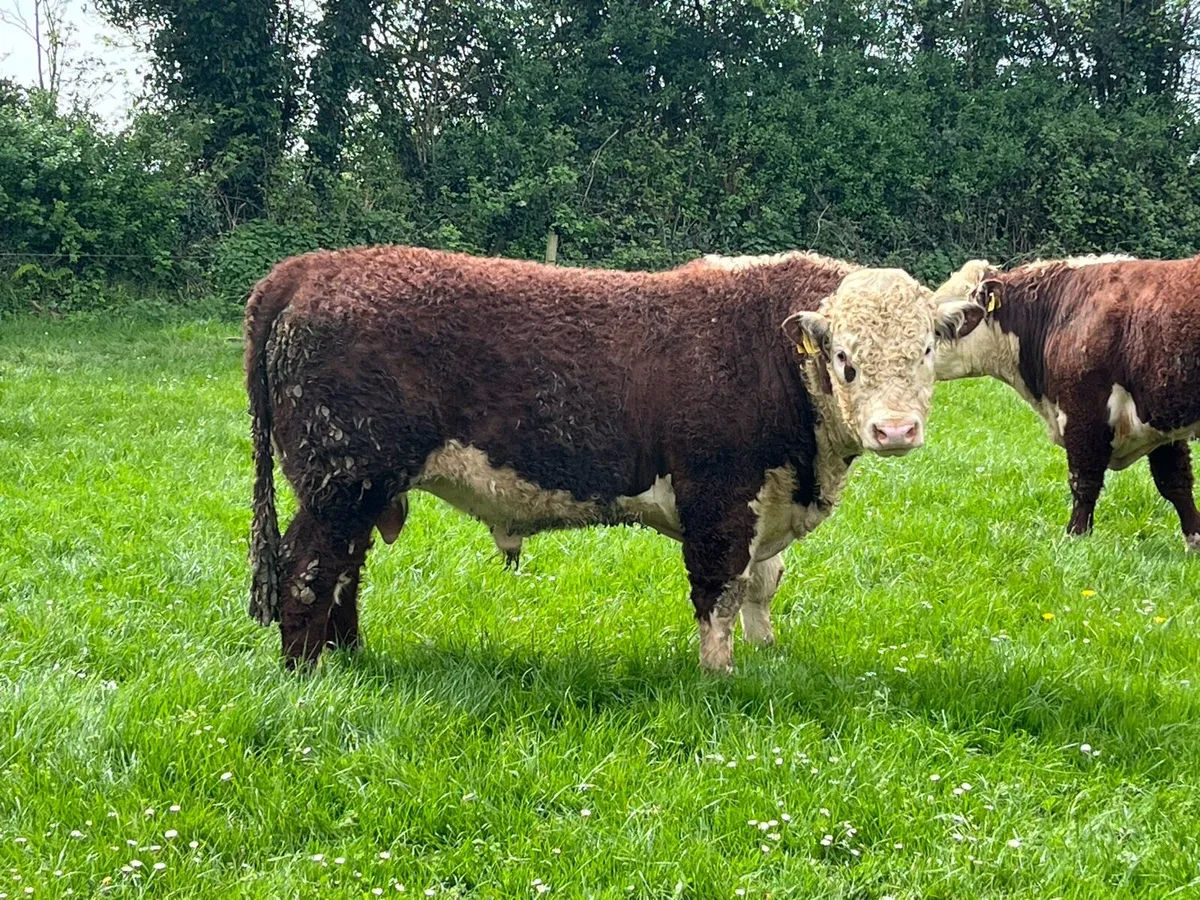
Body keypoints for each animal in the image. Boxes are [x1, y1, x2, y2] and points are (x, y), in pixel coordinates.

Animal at [245, 246, 955, 672]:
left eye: (926, 350)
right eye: (845, 359)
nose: (896, 429)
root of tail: (311, 267)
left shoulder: (767, 500)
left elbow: (761, 584)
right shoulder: (718, 499)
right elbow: (719, 592)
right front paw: (720, 678)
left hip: (358, 492)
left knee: (344, 570)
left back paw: (349, 657)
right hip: (338, 481)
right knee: (307, 570)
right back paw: (312, 672)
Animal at [932, 255, 1200, 550]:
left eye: (942, 326)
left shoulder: (1083, 413)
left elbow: (1083, 481)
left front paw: (1076, 537)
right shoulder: (1160, 418)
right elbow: (1175, 482)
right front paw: (1194, 542)